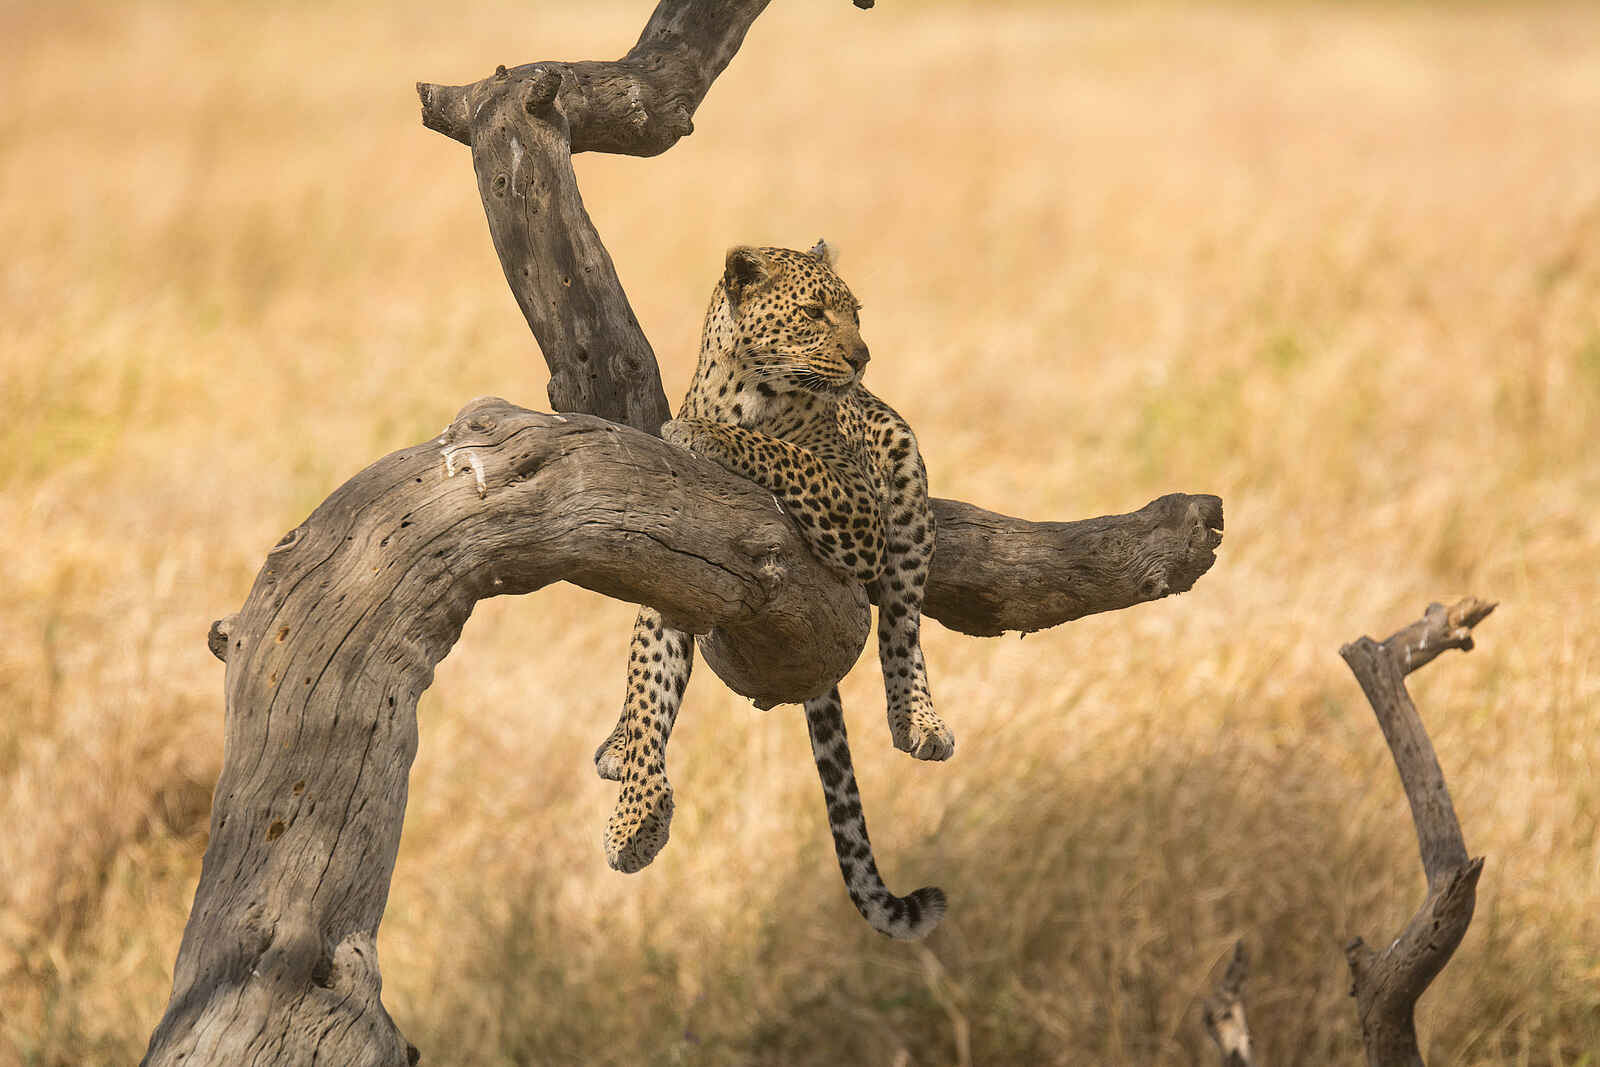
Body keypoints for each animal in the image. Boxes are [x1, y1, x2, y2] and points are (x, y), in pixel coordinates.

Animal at [593, 242, 952, 940]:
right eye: (813, 312)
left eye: (854, 312)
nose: (862, 357)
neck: (749, 395)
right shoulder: (672, 572)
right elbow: (648, 692)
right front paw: (636, 819)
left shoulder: (855, 506)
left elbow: (784, 452)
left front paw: (703, 434)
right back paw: (615, 744)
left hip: (904, 483)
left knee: (902, 623)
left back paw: (918, 719)